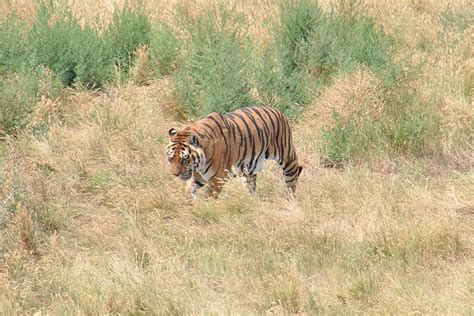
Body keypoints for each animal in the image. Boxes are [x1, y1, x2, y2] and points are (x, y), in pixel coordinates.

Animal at [165, 107, 302, 199]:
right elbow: (188, 191)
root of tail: (277, 110)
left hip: (286, 155)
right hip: (249, 168)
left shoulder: (217, 178)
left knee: (292, 176)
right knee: (251, 185)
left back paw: (290, 199)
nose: (175, 174)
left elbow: (208, 196)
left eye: (184, 159)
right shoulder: (198, 176)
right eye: (170, 159)